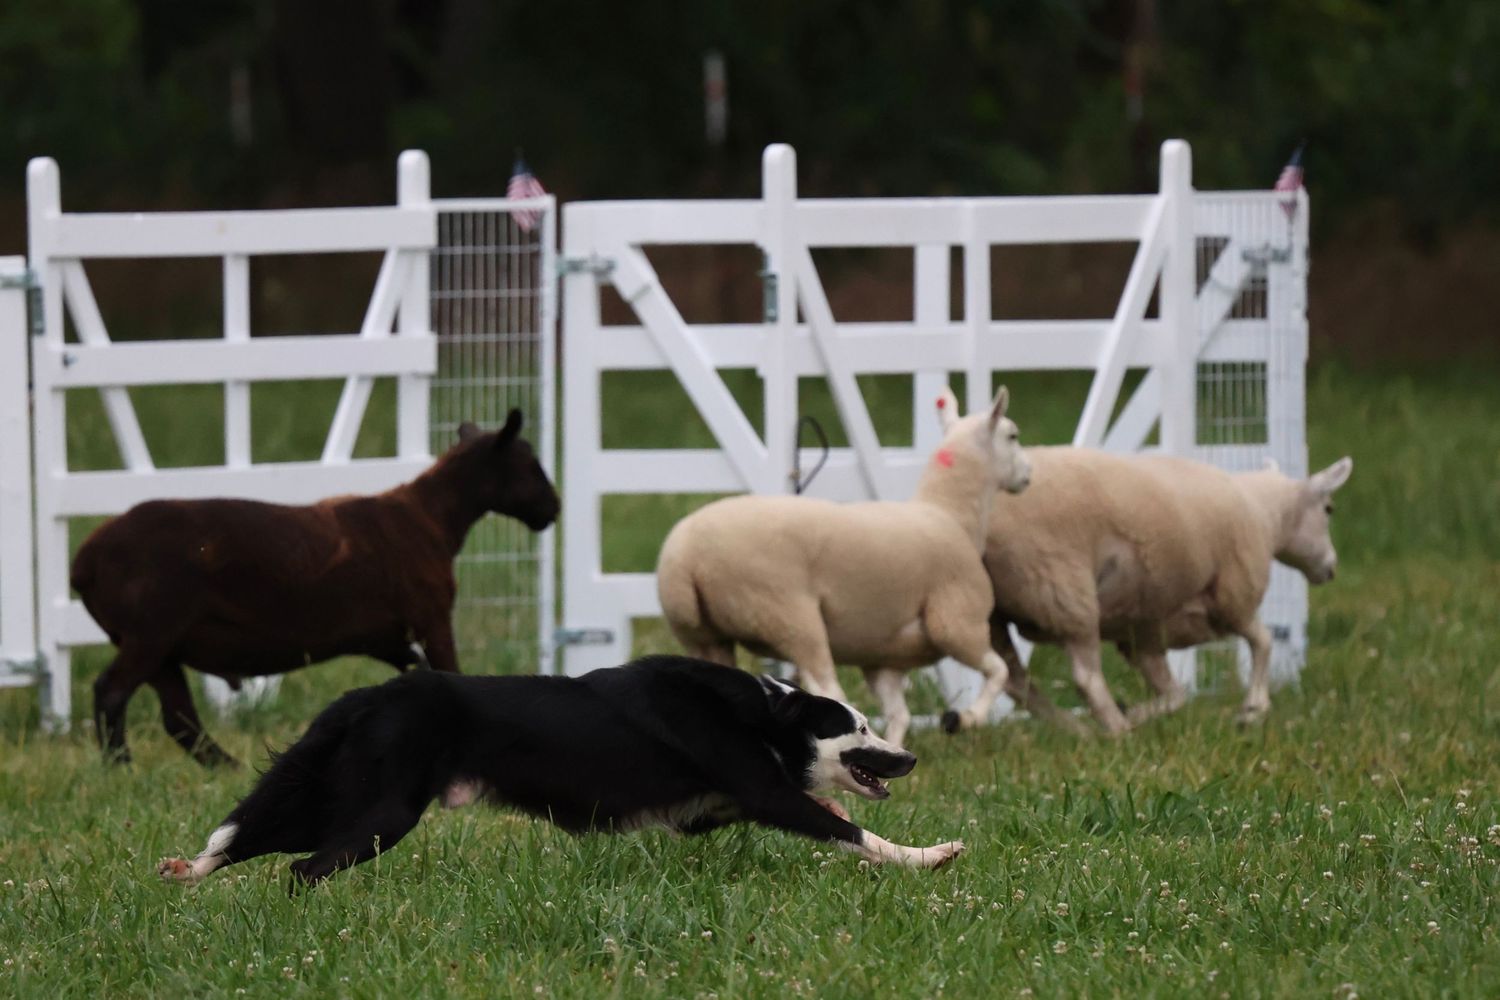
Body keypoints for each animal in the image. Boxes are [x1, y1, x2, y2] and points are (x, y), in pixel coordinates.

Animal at [70, 411, 559, 768]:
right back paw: (120, 764)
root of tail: (84, 562)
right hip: (151, 632)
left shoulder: (386, 638)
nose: (553, 508)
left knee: (179, 718)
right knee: (113, 691)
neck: (431, 518)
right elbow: (447, 670)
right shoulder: (432, 616)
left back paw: (225, 767)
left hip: (161, 645)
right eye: (531, 465)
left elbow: (416, 671)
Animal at [656, 386, 1031, 747]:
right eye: (1012, 435)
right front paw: (967, 718)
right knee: (827, 690)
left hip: (705, 637)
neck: (950, 514)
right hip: (789, 616)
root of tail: (684, 558)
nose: (1028, 476)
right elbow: (999, 672)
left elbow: (899, 716)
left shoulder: (883, 660)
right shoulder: (957, 624)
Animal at [919, 447, 1352, 736]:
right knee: (1084, 677)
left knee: (1015, 679)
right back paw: (1115, 730)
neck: (1264, 514)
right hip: (1062, 588)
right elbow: (1263, 642)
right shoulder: (1234, 595)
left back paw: (1079, 729)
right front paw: (1253, 708)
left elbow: (1176, 694)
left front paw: (1140, 711)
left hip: (994, 610)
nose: (1332, 567)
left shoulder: (1142, 630)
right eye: (1329, 509)